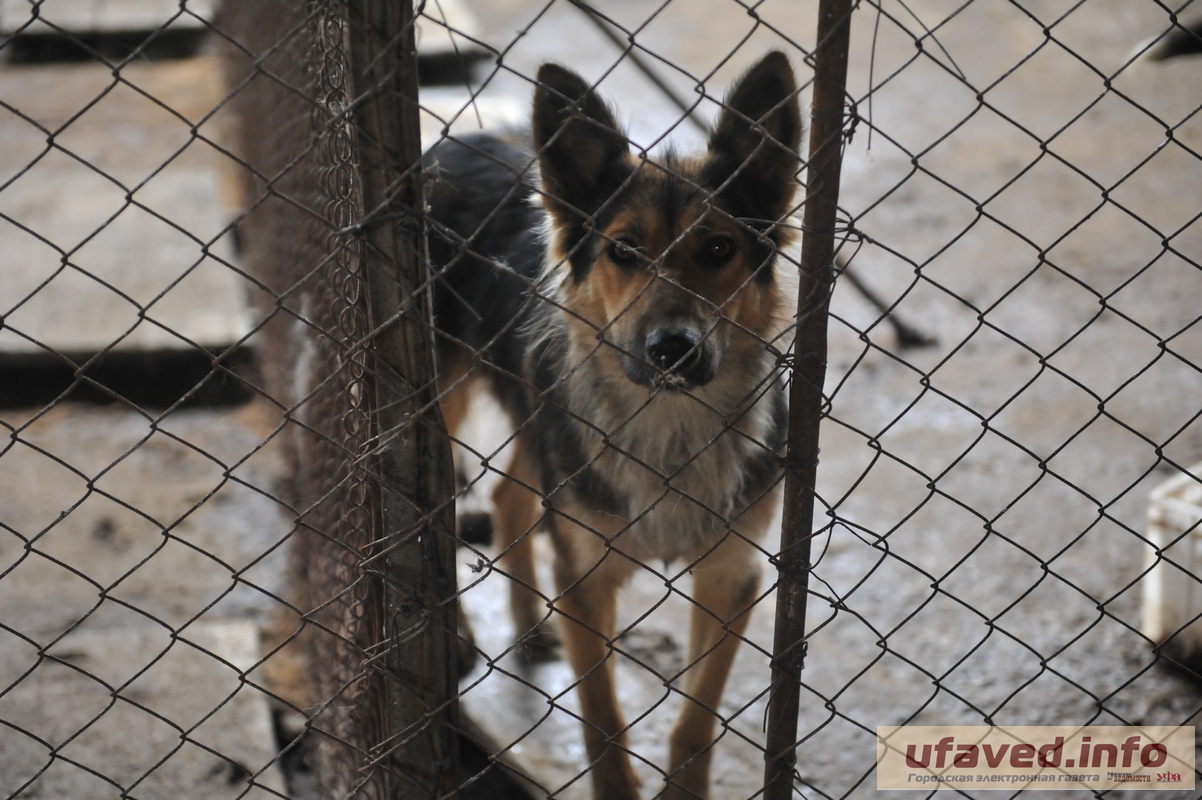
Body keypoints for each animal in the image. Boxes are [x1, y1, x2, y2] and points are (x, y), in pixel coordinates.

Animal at [427, 51, 802, 797]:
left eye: (720, 248)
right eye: (624, 252)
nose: (672, 349)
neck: (671, 422)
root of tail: (453, 141)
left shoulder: (731, 574)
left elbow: (695, 718)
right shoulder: (585, 576)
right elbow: (601, 715)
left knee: (509, 495)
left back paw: (528, 627)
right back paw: (459, 636)